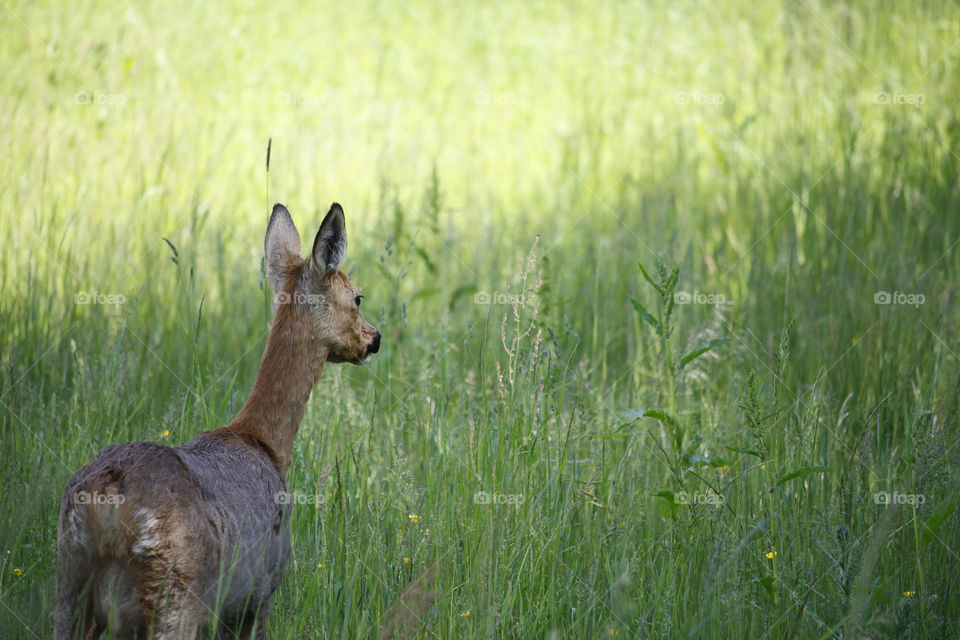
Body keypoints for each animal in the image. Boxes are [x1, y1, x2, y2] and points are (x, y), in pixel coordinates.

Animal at [55, 202, 381, 639]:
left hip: (69, 583)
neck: (264, 442)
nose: (374, 339)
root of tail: (108, 501)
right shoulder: (259, 592)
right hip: (176, 592)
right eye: (358, 297)